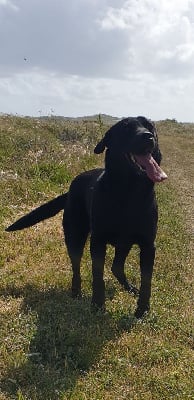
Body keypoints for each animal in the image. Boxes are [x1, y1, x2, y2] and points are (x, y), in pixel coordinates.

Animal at [5, 116, 167, 318]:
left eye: (149, 126)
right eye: (126, 128)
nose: (147, 136)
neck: (128, 193)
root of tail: (69, 189)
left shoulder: (148, 245)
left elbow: (147, 280)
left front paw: (142, 309)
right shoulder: (97, 241)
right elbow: (97, 275)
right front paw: (97, 304)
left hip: (124, 243)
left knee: (116, 267)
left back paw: (130, 288)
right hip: (75, 236)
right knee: (76, 267)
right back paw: (76, 292)